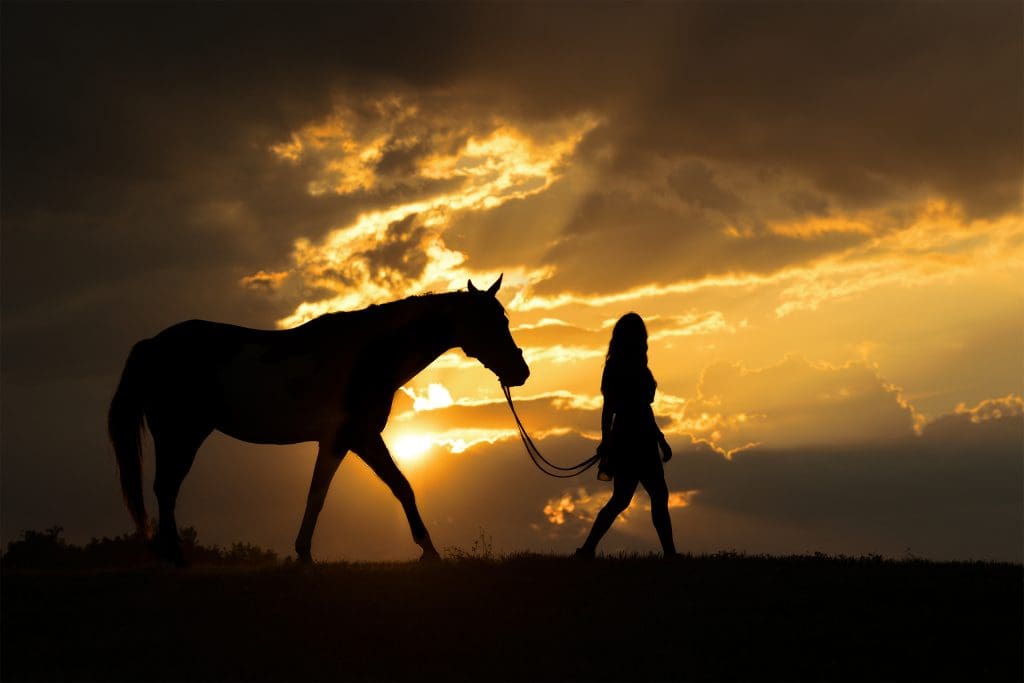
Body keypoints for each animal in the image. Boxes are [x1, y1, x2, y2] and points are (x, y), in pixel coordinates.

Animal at [108, 275, 529, 565]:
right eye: (491, 322)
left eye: (504, 319)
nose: (521, 371)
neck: (366, 356)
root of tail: (153, 345)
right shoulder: (348, 437)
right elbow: (326, 494)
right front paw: (306, 554)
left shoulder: (355, 439)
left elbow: (398, 487)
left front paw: (428, 551)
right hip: (181, 433)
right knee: (166, 488)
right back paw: (175, 557)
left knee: (166, 488)